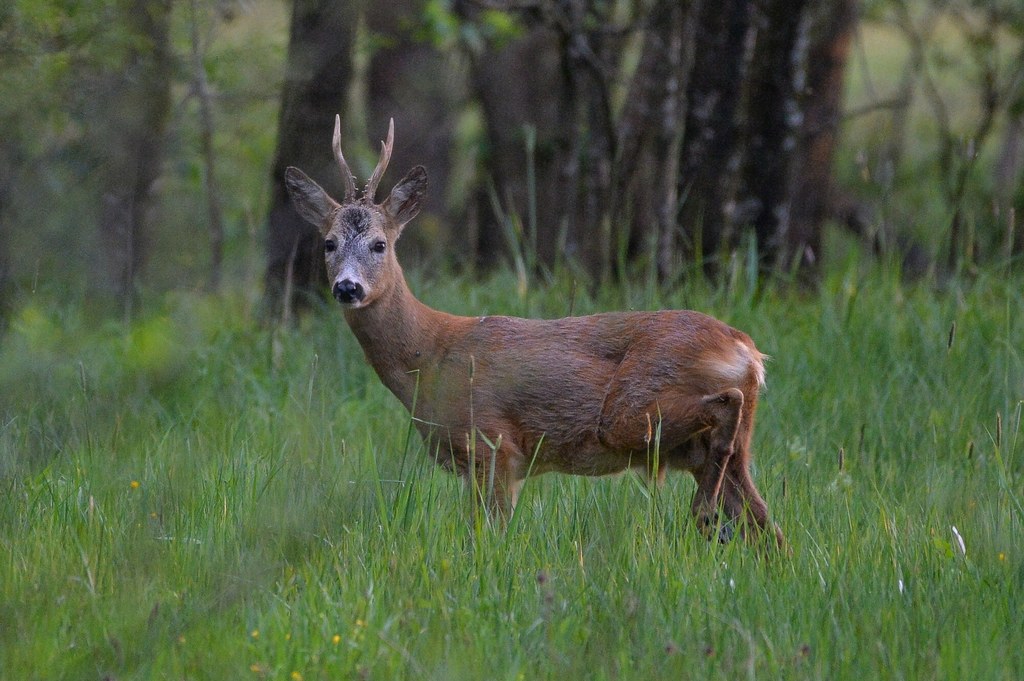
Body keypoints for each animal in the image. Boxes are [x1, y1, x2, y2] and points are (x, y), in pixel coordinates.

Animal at [284, 116, 778, 548]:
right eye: (328, 243)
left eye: (379, 244)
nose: (347, 287)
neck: (430, 357)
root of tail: (748, 351)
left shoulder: (492, 443)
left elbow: (485, 535)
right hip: (712, 447)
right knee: (769, 528)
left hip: (631, 411)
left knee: (726, 409)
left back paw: (703, 512)